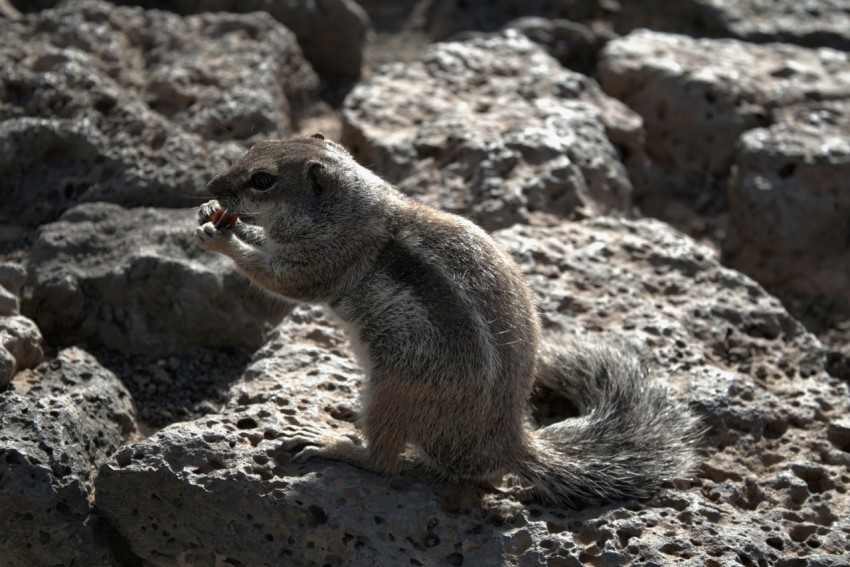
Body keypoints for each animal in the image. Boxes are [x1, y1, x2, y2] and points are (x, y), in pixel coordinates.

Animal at [197, 135, 696, 508]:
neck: (352, 209)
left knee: (384, 460)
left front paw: (221, 239)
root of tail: (507, 439)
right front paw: (213, 217)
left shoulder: (324, 262)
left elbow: (277, 278)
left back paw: (331, 443)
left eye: (263, 180)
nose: (211, 184)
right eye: (254, 147)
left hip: (394, 391)